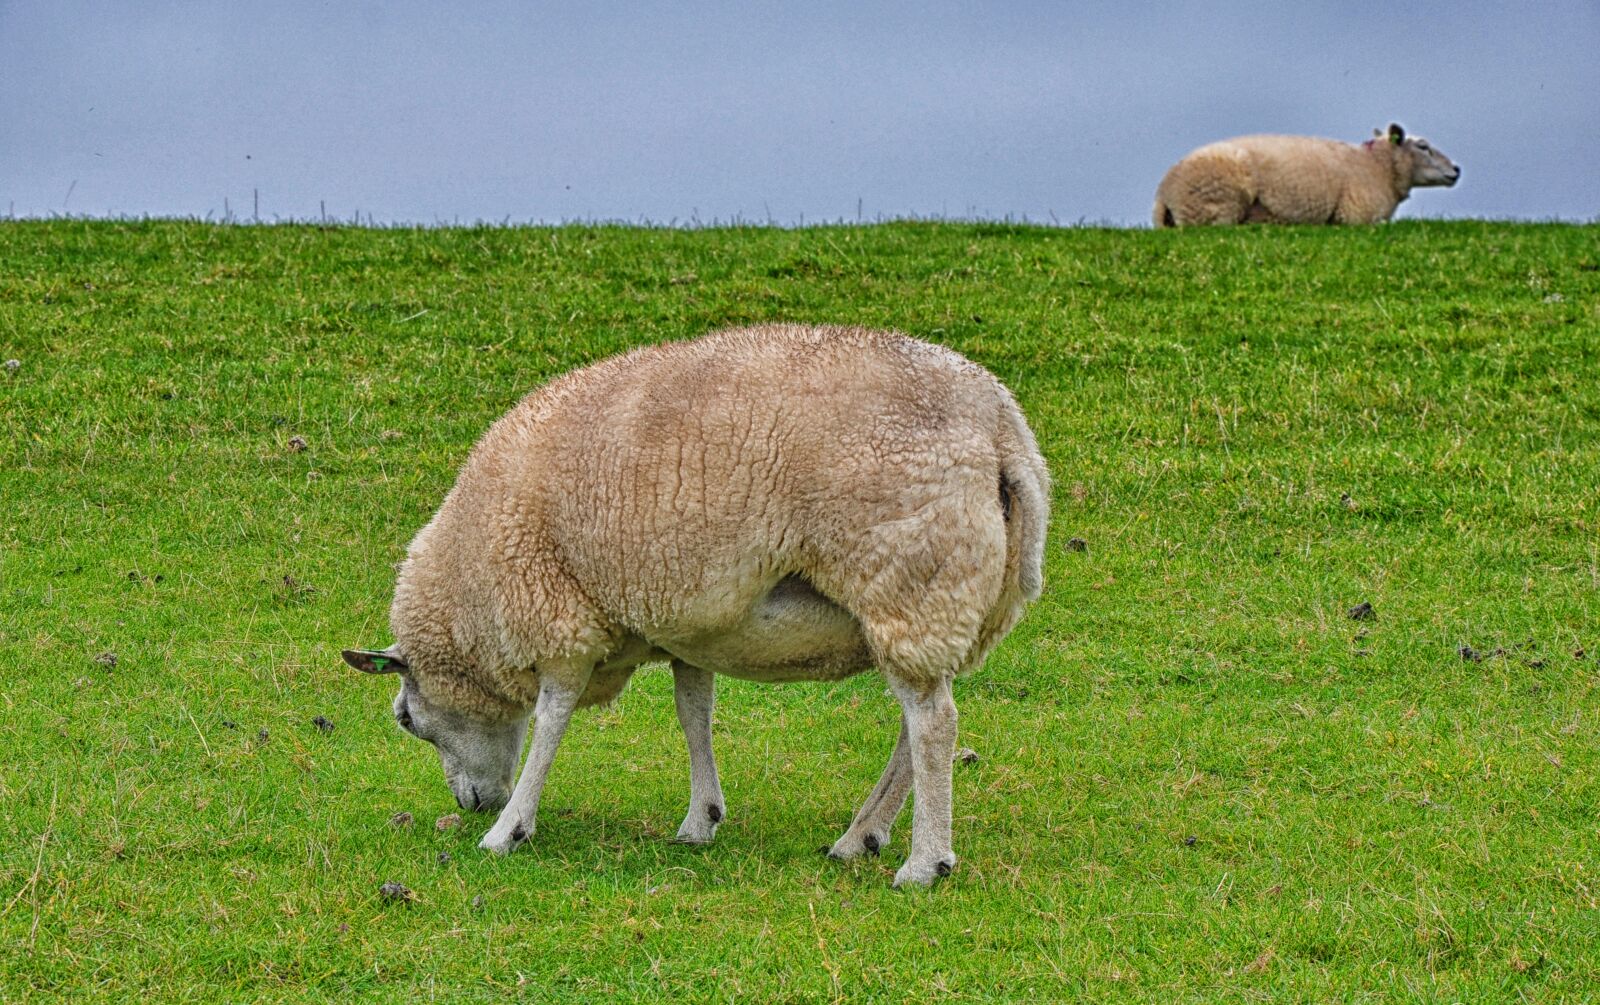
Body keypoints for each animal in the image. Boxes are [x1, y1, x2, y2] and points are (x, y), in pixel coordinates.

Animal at [343, 324, 1050, 887]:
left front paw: (510, 828)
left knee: (934, 724)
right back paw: (862, 836)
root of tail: (1001, 427)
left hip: (909, 578)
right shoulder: (688, 624)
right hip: (943, 601)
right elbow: (693, 713)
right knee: (917, 721)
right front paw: (701, 818)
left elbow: (551, 720)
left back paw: (924, 862)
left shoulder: (559, 616)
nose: (473, 806)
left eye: (406, 720)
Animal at [1153, 123, 1460, 227]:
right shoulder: (1356, 216)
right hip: (1218, 204)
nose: (1457, 170)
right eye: (1423, 146)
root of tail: (1164, 193)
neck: (1377, 166)